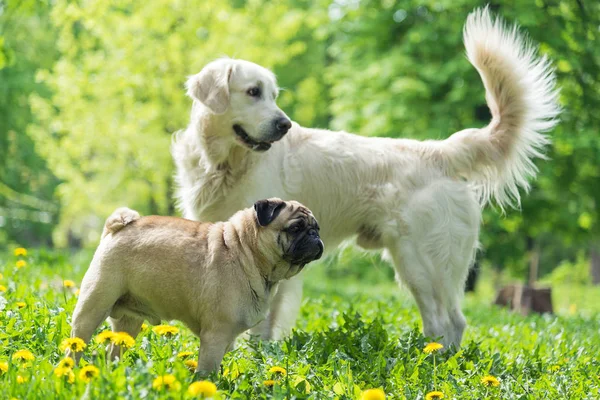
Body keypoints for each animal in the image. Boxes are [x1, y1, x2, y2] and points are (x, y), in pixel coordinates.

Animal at [171, 7, 560, 348]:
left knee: (449, 321)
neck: (226, 163)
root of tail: (439, 151)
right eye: (253, 92)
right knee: (445, 322)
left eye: (272, 95)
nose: (284, 125)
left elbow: (260, 324)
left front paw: (255, 359)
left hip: (422, 261)